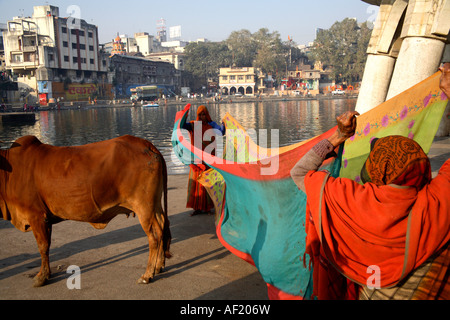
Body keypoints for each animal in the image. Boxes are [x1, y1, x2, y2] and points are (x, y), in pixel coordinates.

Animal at [0, 134, 171, 286]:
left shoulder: (36, 216)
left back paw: (147, 275)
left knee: (154, 235)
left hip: (144, 206)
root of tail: (147, 144)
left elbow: (43, 246)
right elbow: (46, 245)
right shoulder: (45, 218)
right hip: (154, 204)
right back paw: (158, 266)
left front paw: (41, 277)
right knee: (163, 226)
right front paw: (46, 274)